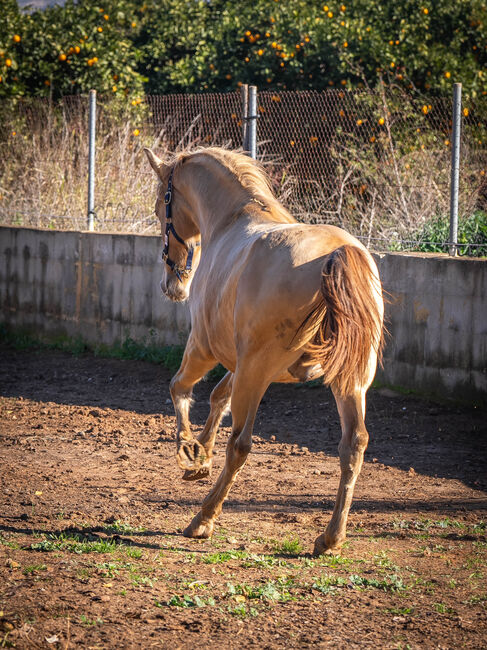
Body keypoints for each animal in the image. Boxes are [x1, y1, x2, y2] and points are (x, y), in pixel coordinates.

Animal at [145, 147, 386, 552]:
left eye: (162, 205)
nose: (171, 284)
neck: (230, 221)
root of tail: (336, 254)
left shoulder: (205, 347)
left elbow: (180, 388)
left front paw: (189, 453)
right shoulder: (239, 363)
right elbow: (217, 397)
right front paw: (200, 457)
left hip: (256, 375)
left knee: (240, 445)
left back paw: (202, 520)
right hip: (348, 383)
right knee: (353, 445)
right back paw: (330, 537)